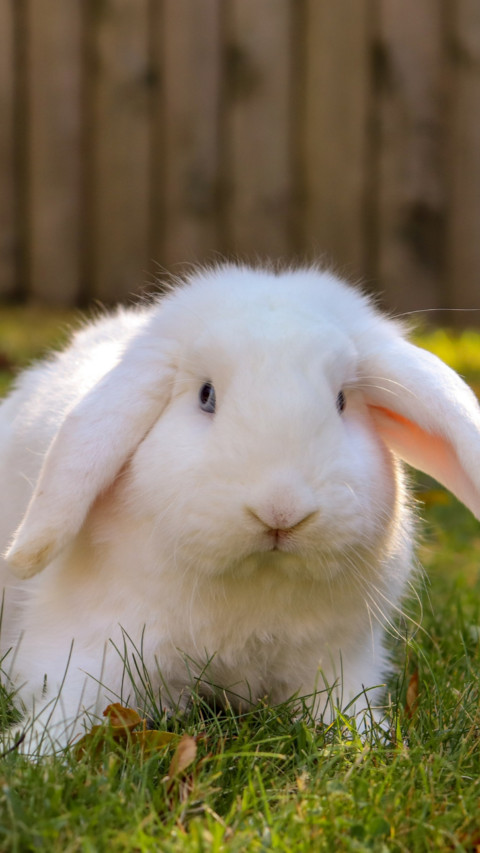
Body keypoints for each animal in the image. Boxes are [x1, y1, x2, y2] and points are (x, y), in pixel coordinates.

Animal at [1, 262, 480, 753]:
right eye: (206, 395)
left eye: (342, 402)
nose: (281, 510)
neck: (258, 583)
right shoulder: (97, 645)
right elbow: (73, 701)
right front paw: (33, 751)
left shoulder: (339, 660)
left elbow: (344, 708)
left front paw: (368, 742)